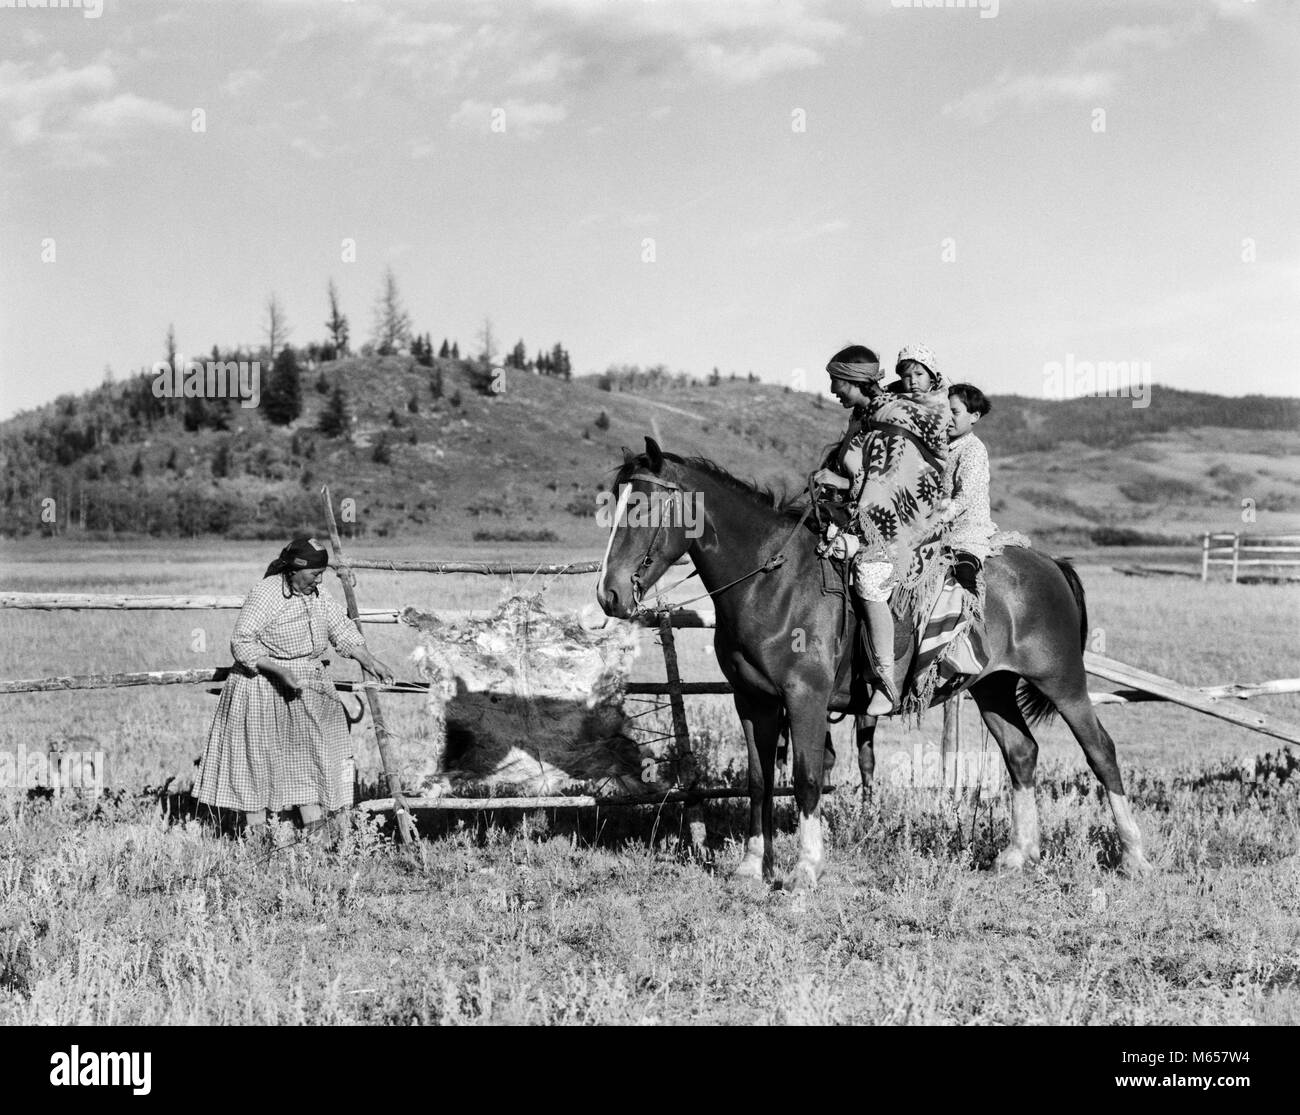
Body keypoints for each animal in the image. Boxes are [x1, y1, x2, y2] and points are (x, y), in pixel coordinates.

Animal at [595, 439, 1154, 888]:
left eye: (643, 507)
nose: (609, 594)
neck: (771, 583)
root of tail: (1051, 565)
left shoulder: (805, 698)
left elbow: (806, 776)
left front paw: (806, 869)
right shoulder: (752, 701)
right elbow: (759, 779)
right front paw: (753, 867)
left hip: (1063, 682)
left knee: (1101, 752)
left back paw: (1134, 857)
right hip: (991, 687)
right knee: (1021, 753)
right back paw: (1018, 854)